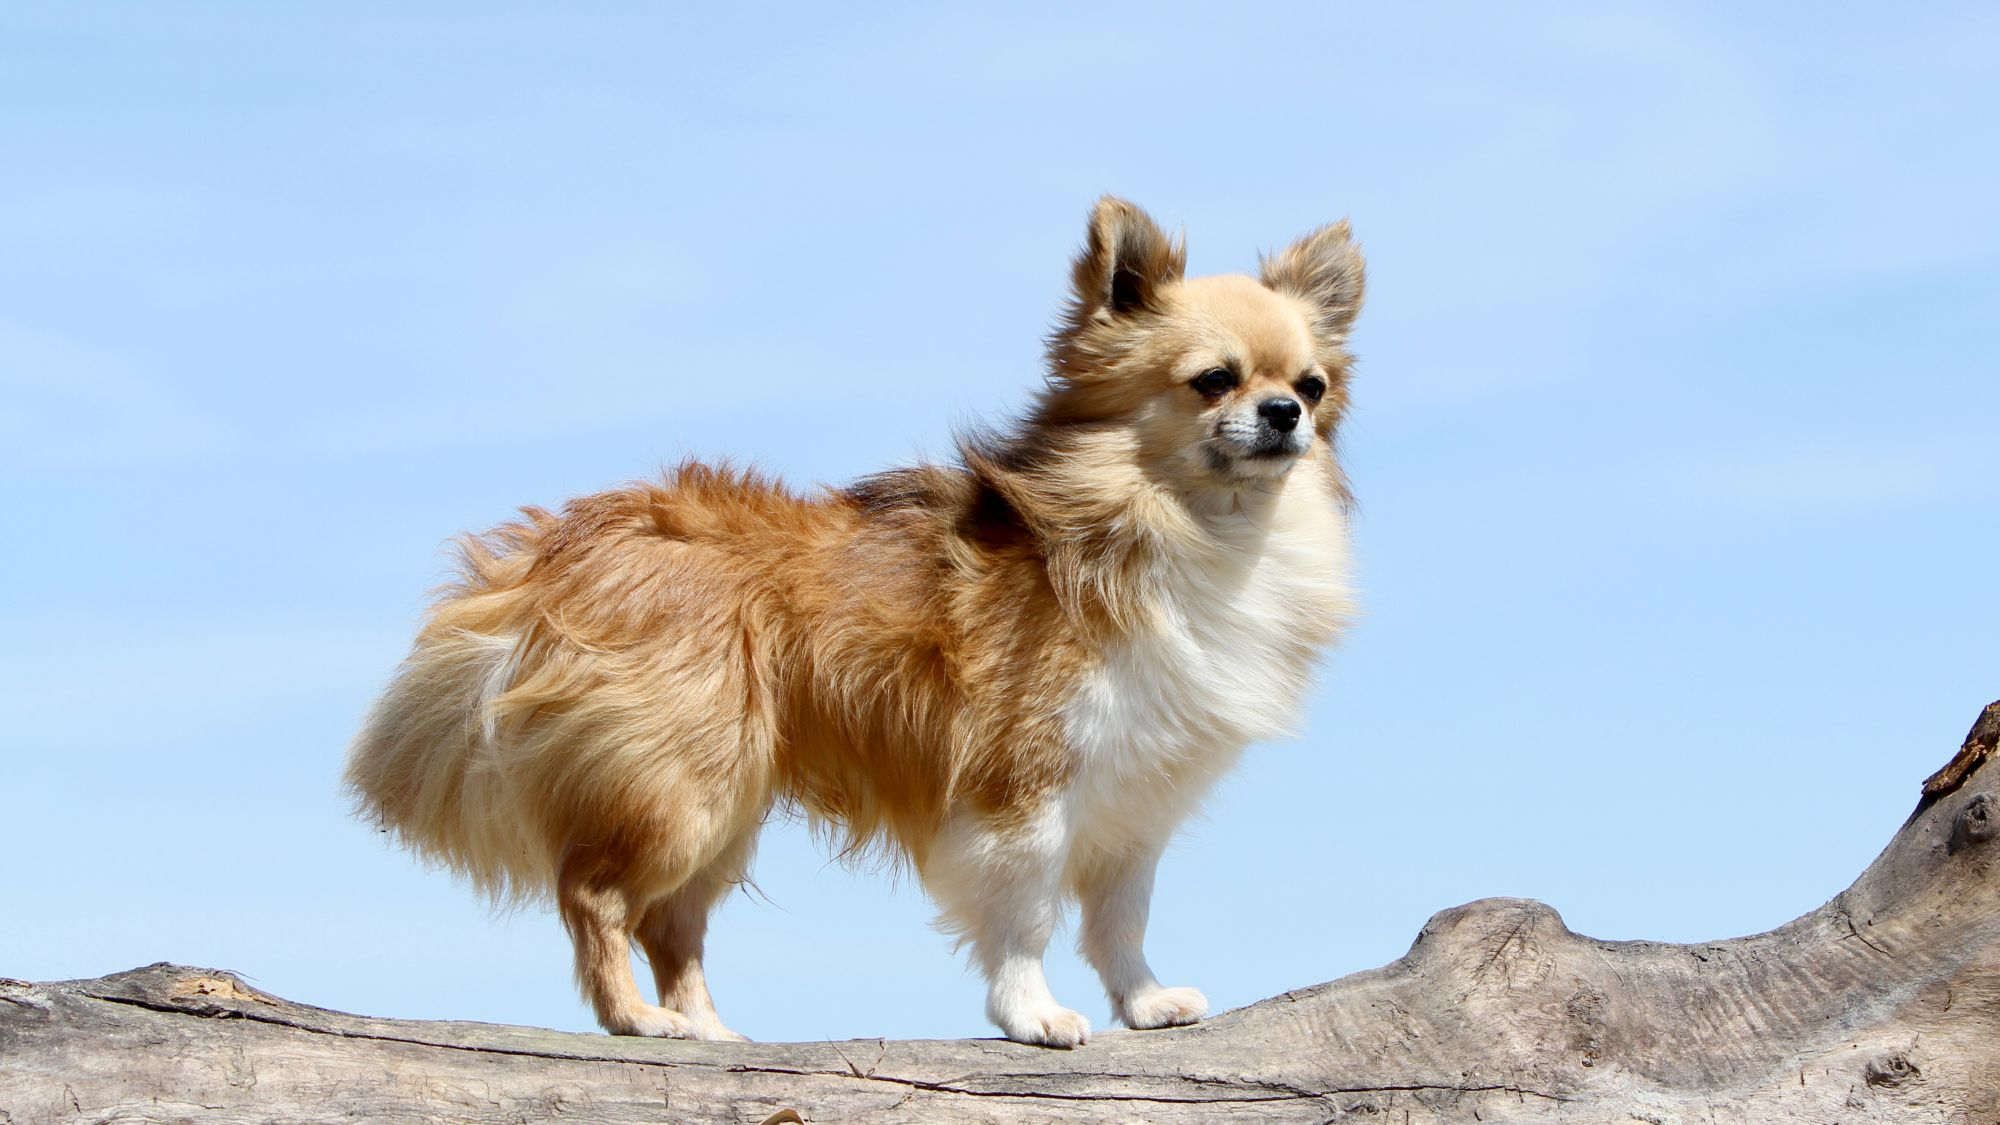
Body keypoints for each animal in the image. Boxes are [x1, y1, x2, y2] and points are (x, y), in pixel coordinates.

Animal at [352, 197, 1368, 1048]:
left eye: (1312, 386)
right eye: (1213, 381)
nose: (1284, 413)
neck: (1180, 524)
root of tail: (577, 541)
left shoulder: (1132, 800)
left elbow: (1121, 918)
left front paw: (1146, 1002)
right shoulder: (1024, 789)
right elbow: (1028, 915)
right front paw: (1032, 1015)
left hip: (725, 805)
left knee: (670, 920)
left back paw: (708, 1027)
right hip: (683, 791)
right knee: (593, 892)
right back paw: (636, 1018)